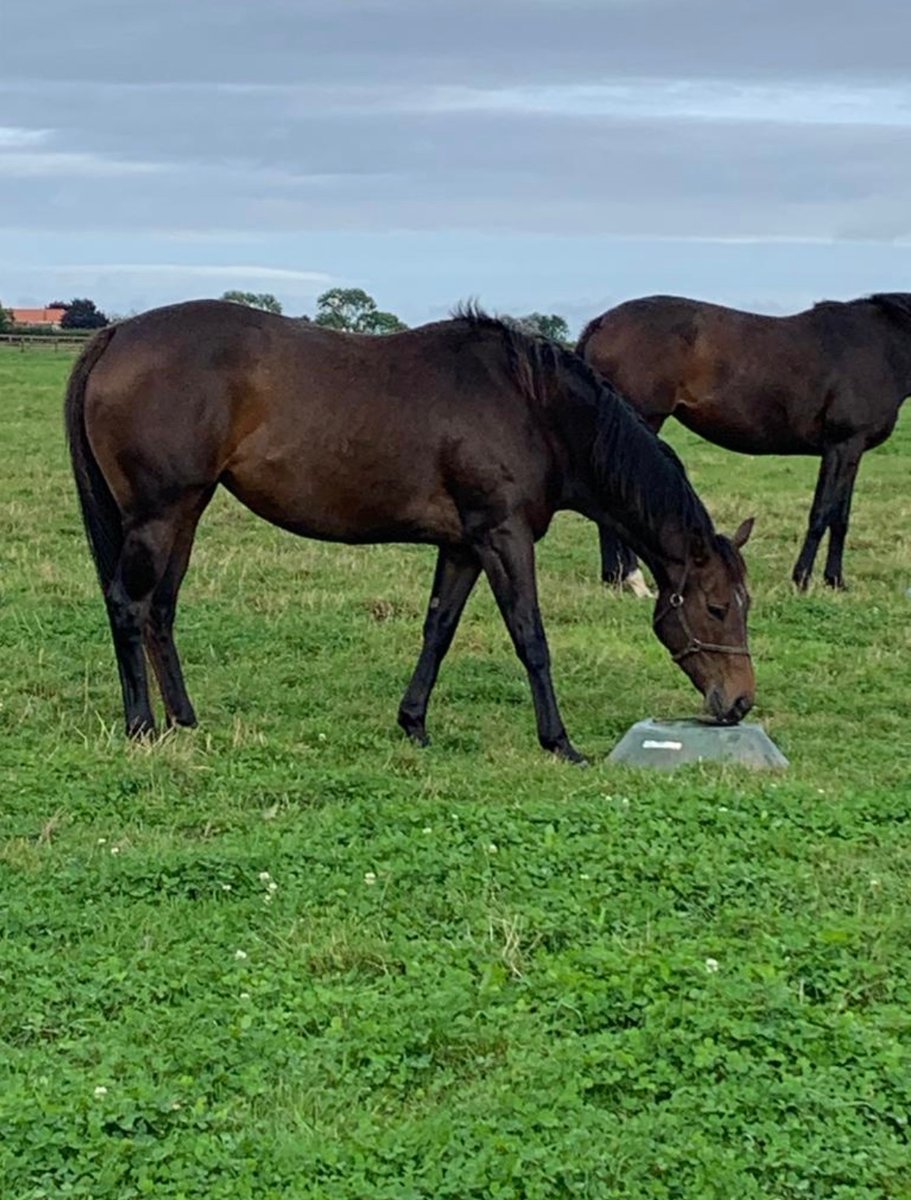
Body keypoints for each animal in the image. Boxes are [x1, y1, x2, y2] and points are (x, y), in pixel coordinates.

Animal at [65, 300, 755, 762]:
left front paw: (414, 723)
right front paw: (560, 742)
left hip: (186, 512)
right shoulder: (503, 538)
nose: (741, 703)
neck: (533, 408)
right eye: (718, 608)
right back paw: (142, 726)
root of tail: (117, 333)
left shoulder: (462, 546)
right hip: (157, 516)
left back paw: (184, 719)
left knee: (160, 610)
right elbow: (531, 638)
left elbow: (438, 631)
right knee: (129, 606)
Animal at [578, 293, 911, 591]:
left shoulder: (851, 449)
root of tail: (602, 322)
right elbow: (822, 513)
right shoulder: (842, 444)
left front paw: (836, 582)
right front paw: (802, 579)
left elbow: (840, 518)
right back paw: (633, 579)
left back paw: (613, 578)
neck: (881, 349)